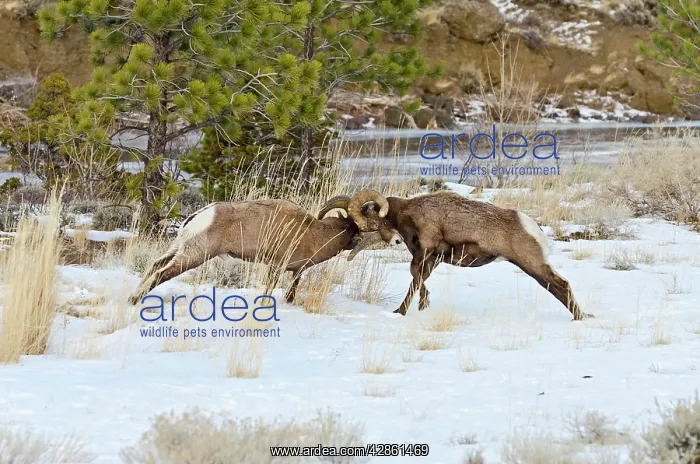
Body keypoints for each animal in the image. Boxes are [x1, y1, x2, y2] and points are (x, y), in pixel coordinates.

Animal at [128, 190, 402, 305]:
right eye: (378, 221)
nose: (399, 240)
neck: (314, 232)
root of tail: (201, 215)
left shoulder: (296, 272)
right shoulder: (275, 267)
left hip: (179, 249)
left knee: (154, 265)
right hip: (194, 256)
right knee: (161, 273)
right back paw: (135, 301)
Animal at [331, 190, 592, 321]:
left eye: (373, 223)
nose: (393, 241)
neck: (409, 212)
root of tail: (530, 225)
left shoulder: (426, 250)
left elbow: (415, 275)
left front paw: (412, 308)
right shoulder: (432, 258)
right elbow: (417, 280)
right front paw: (410, 309)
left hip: (531, 264)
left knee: (560, 285)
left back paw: (579, 318)